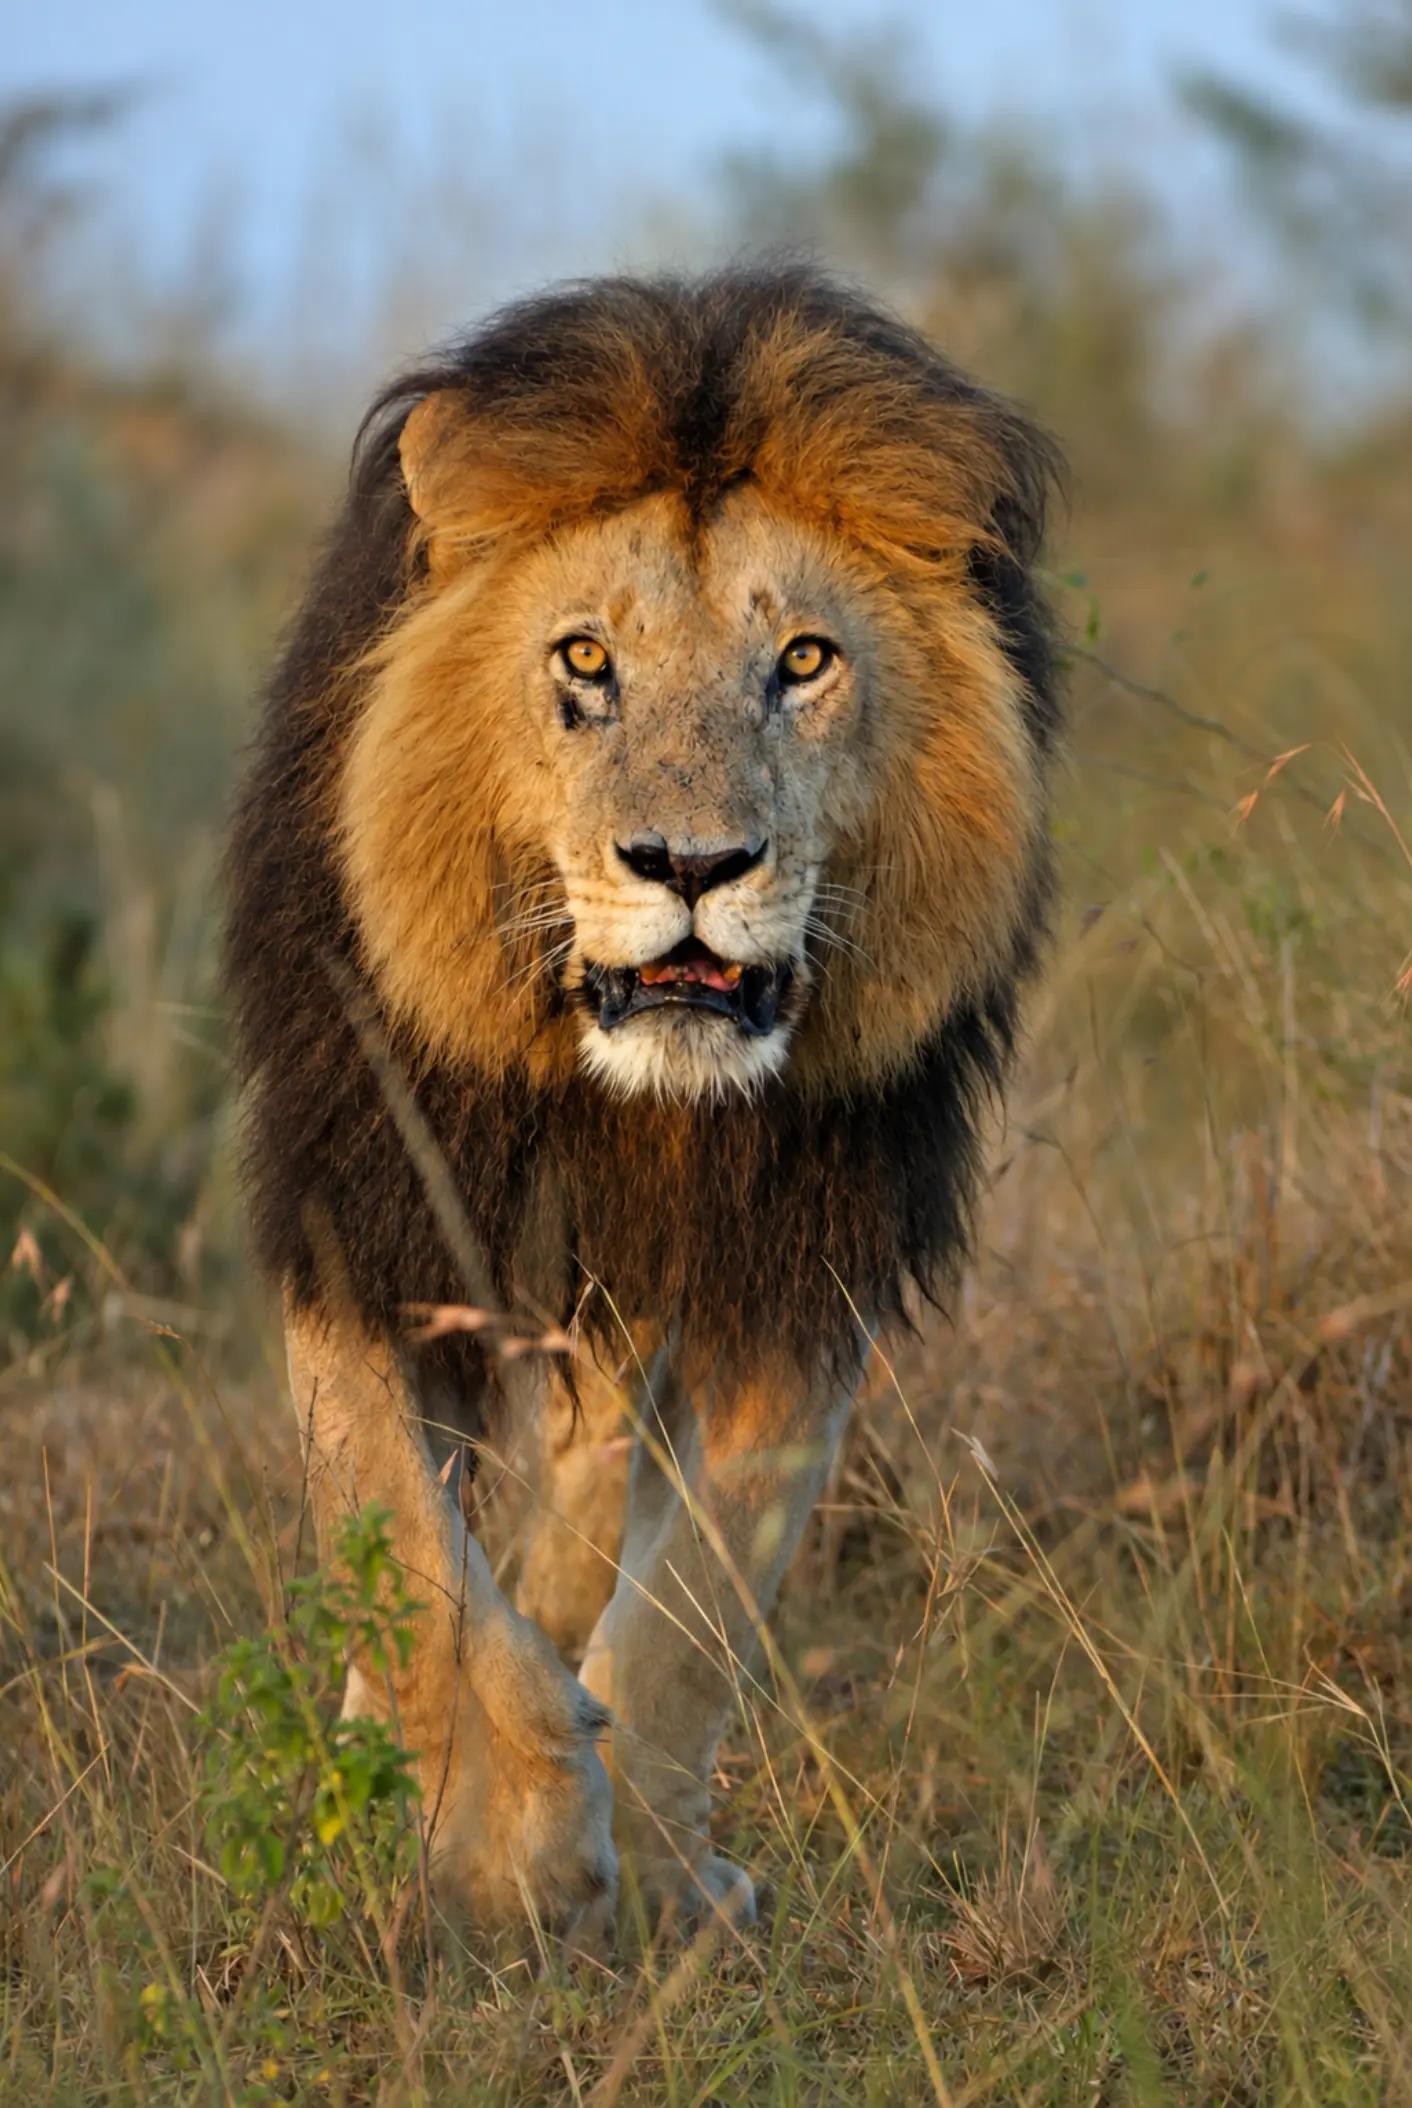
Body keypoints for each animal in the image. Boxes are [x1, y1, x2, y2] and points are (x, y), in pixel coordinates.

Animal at [224, 264, 1061, 1946]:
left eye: (801, 660)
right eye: (585, 663)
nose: (691, 866)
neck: (640, 1106)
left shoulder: (803, 1258)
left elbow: (699, 1595)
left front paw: (662, 1873)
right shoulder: (365, 1209)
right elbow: (412, 1561)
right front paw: (515, 1853)